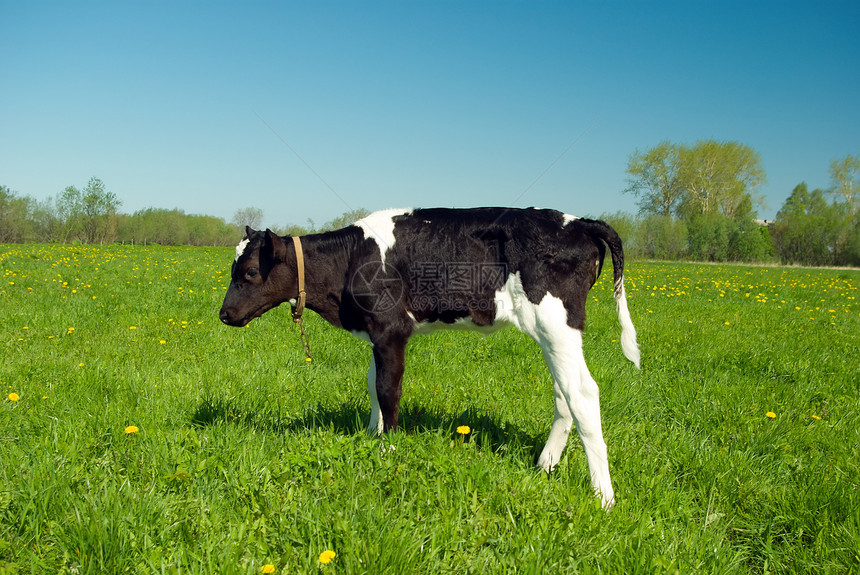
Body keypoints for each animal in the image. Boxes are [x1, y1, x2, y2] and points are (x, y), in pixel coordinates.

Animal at [222, 208, 640, 508]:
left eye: (251, 271)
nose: (224, 314)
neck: (350, 258)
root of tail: (579, 222)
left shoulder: (391, 329)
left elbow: (388, 389)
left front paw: (388, 449)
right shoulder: (376, 333)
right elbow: (372, 387)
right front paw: (371, 437)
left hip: (556, 322)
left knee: (583, 393)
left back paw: (603, 497)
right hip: (554, 333)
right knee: (564, 393)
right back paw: (545, 465)